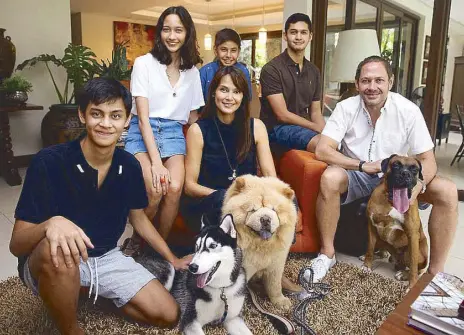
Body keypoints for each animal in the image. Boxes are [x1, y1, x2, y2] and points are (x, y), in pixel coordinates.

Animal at [222, 176, 298, 312]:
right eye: (253, 210)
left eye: (274, 210)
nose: (266, 219)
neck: (261, 246)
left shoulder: (276, 265)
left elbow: (274, 285)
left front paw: (281, 302)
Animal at [362, 155, 428, 288]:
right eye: (396, 165)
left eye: (414, 169)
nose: (405, 173)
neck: (392, 202)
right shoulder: (371, 225)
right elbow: (370, 248)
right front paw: (367, 265)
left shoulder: (413, 236)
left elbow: (413, 265)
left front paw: (411, 286)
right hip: (380, 240)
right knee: (380, 251)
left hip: (412, 251)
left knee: (418, 269)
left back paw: (403, 274)